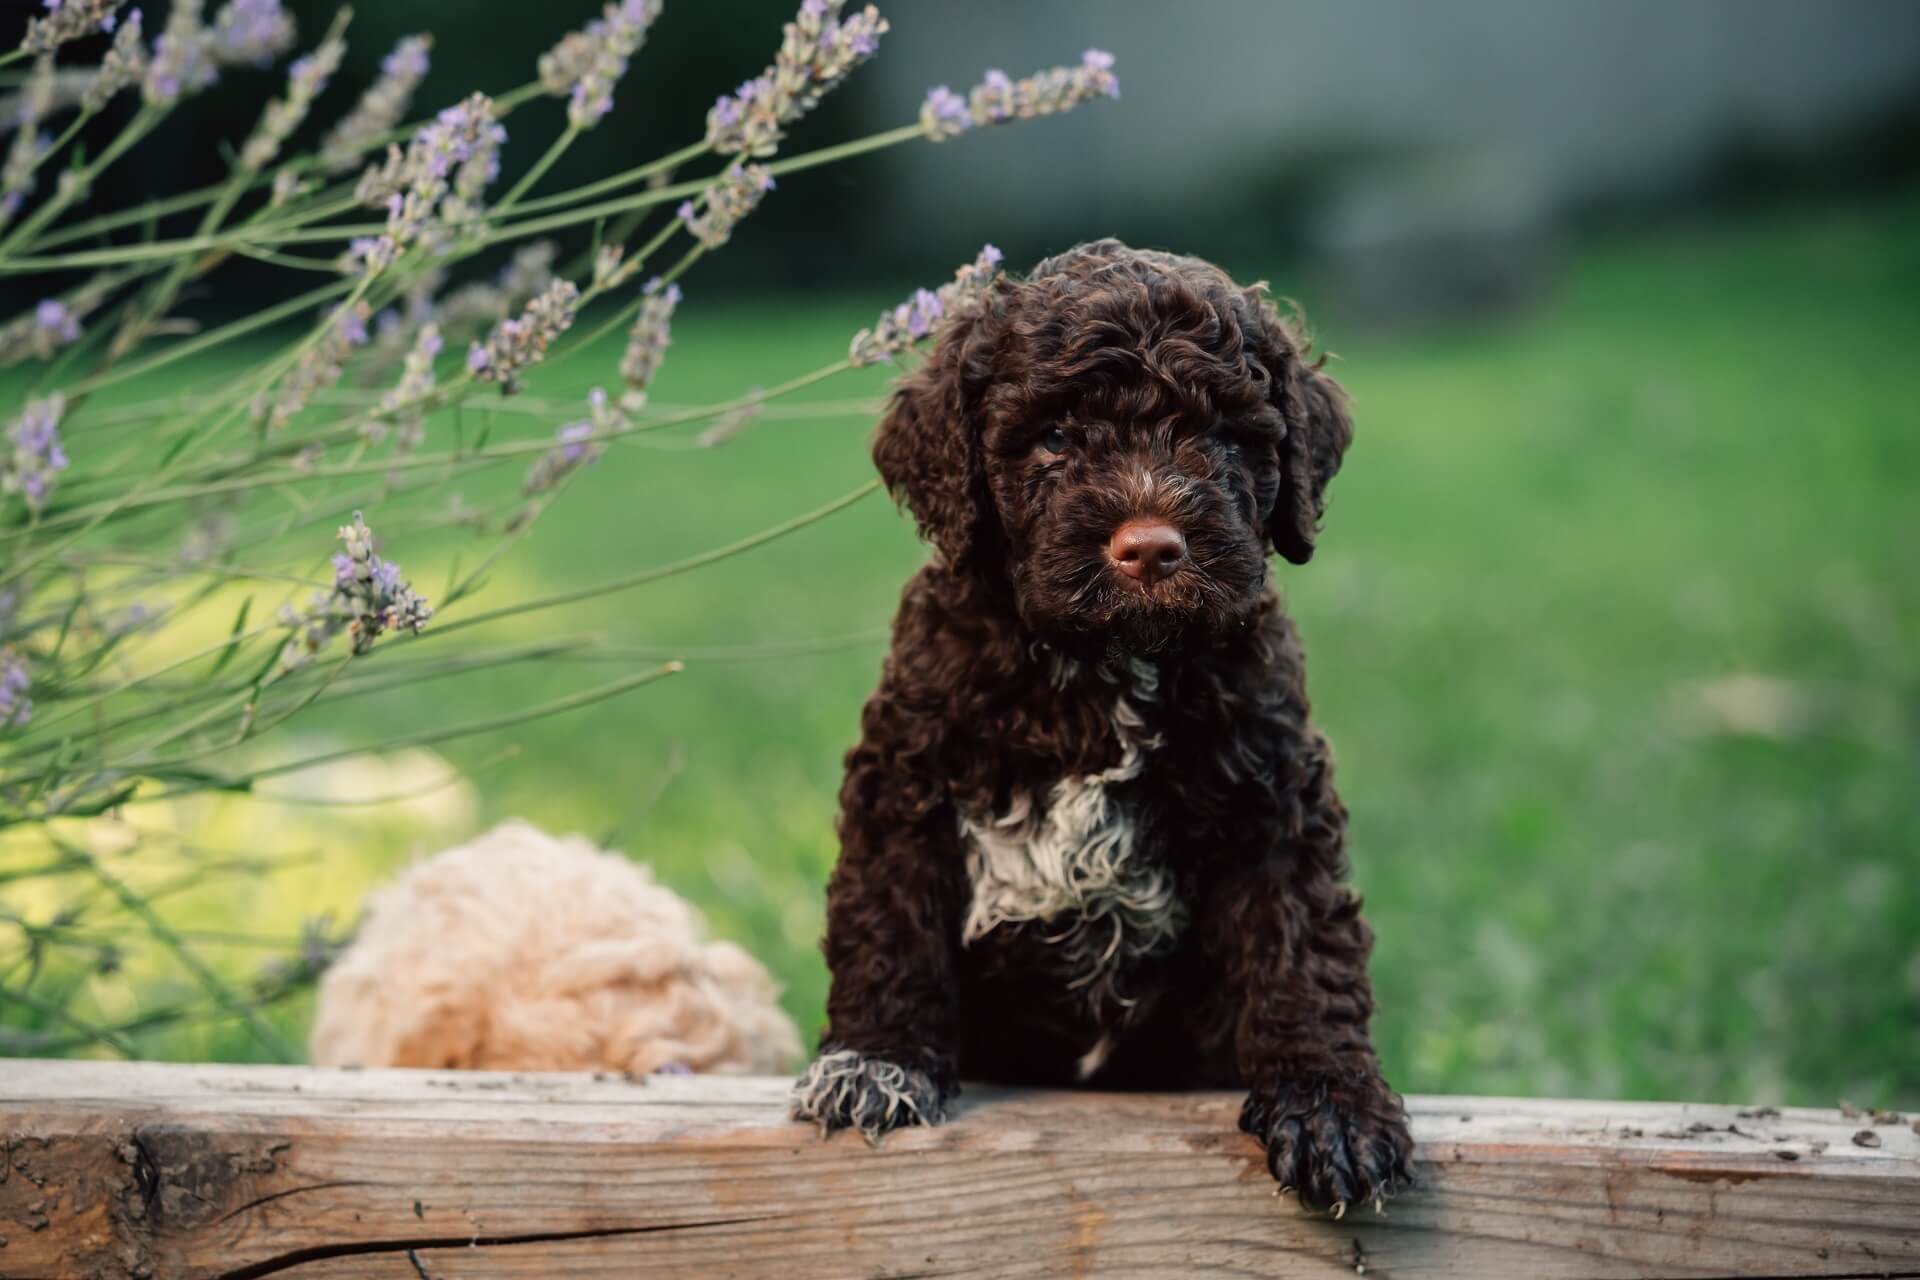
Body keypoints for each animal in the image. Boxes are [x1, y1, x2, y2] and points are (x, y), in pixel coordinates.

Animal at [791, 237, 1413, 1212]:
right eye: (1054, 437)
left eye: (1222, 438)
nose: (1151, 548)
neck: (1105, 668)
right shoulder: (905, 778)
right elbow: (889, 923)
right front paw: (876, 1062)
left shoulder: (1274, 797)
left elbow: (1302, 949)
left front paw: (1330, 1107)